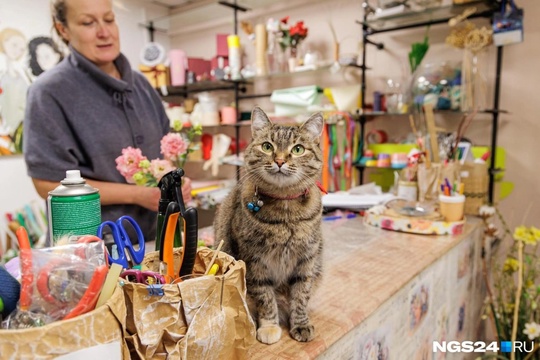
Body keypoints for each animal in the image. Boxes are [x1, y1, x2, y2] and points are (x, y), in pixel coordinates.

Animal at [214, 105, 324, 344]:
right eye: (267, 146)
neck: (286, 214)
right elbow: (265, 297)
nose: (280, 161)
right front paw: (269, 326)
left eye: (298, 149)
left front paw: (300, 323)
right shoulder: (254, 261)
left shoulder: (306, 260)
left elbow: (301, 295)